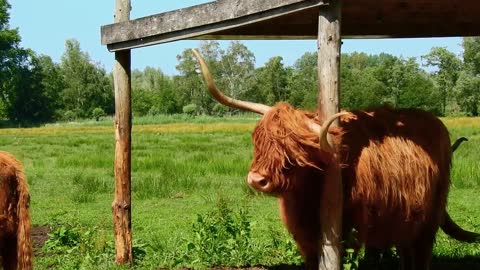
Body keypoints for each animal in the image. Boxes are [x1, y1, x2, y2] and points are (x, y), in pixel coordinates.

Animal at [192, 49, 480, 270]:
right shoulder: (306, 238)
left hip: (427, 222)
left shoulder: (349, 232)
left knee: (420, 255)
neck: (308, 195)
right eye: (258, 142)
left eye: (292, 148)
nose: (256, 179)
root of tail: (435, 123)